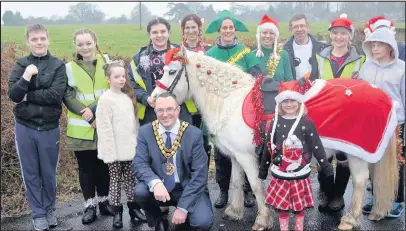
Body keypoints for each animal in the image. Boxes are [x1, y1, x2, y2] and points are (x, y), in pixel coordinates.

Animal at [153, 46, 400, 230]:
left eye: (172, 72)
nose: (153, 100)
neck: (231, 99)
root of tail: (380, 93)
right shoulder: (235, 156)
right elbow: (236, 182)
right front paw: (234, 211)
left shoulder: (247, 156)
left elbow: (255, 185)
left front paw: (263, 219)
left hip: (356, 154)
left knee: (360, 181)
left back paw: (350, 219)